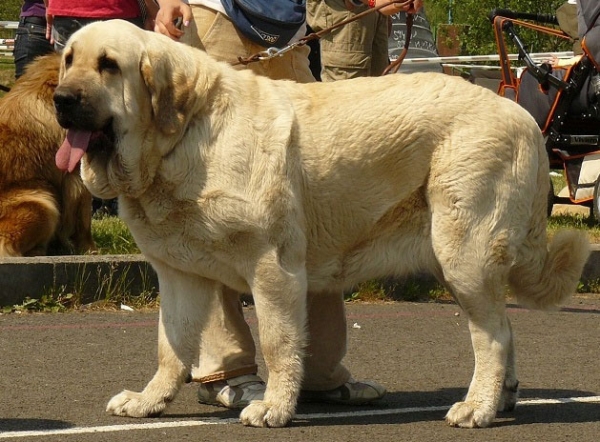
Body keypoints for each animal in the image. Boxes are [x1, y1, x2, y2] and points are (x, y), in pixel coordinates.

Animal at [54, 19, 588, 428]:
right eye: (68, 60)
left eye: (108, 65)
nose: (61, 98)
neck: (185, 135)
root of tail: (522, 116)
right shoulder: (180, 275)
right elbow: (170, 346)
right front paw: (149, 401)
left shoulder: (273, 268)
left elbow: (277, 342)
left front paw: (273, 407)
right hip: (454, 257)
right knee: (502, 327)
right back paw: (502, 397)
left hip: (465, 253)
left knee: (493, 336)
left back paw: (477, 407)